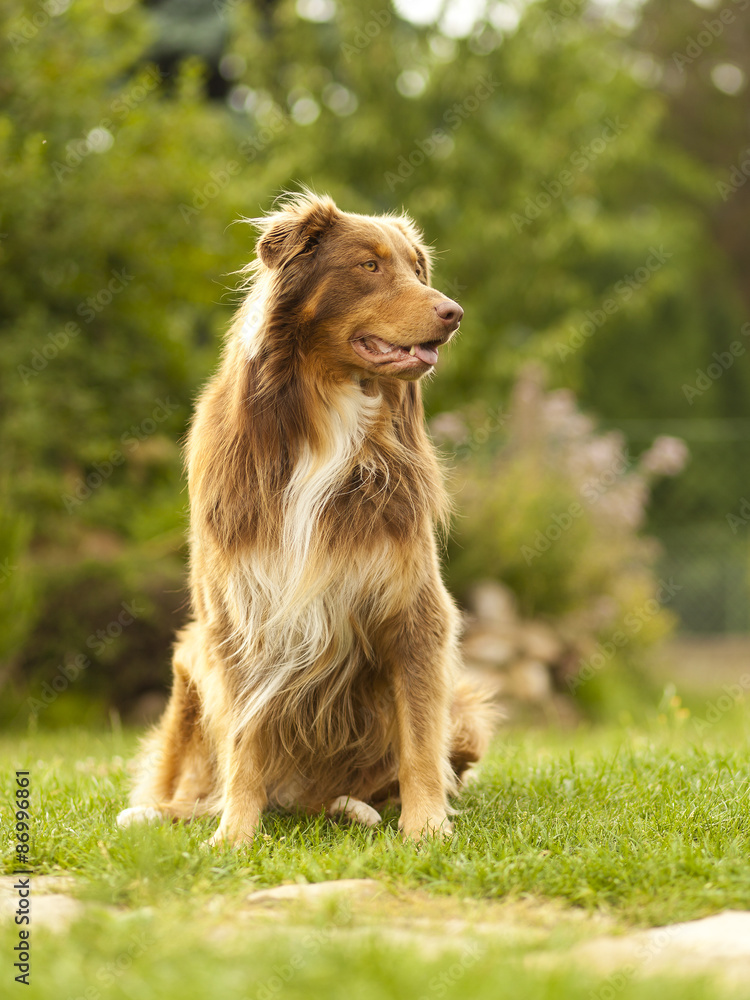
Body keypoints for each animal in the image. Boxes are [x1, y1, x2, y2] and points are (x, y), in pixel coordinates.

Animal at [117, 189, 494, 844]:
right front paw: (234, 835)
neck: (330, 417)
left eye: (417, 271)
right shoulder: (238, 614)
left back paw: (357, 806)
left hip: (465, 709)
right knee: (186, 792)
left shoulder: (416, 610)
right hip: (189, 658)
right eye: (369, 266)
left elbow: (420, 740)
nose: (454, 313)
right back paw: (158, 813)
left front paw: (427, 828)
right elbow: (244, 740)